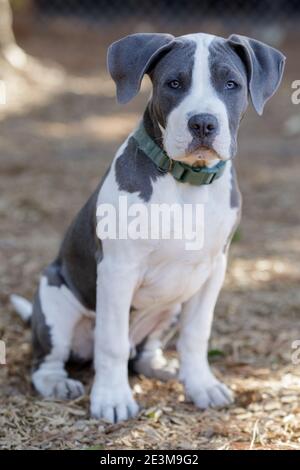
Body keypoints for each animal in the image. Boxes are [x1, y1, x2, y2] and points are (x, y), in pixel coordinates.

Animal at [10, 32, 284, 422]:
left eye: (231, 84)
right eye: (174, 83)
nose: (203, 124)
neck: (187, 181)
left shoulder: (213, 270)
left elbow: (196, 334)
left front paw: (201, 385)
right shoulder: (117, 269)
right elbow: (109, 341)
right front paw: (112, 399)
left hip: (172, 305)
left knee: (142, 353)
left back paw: (163, 368)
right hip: (54, 300)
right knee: (50, 359)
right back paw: (57, 383)